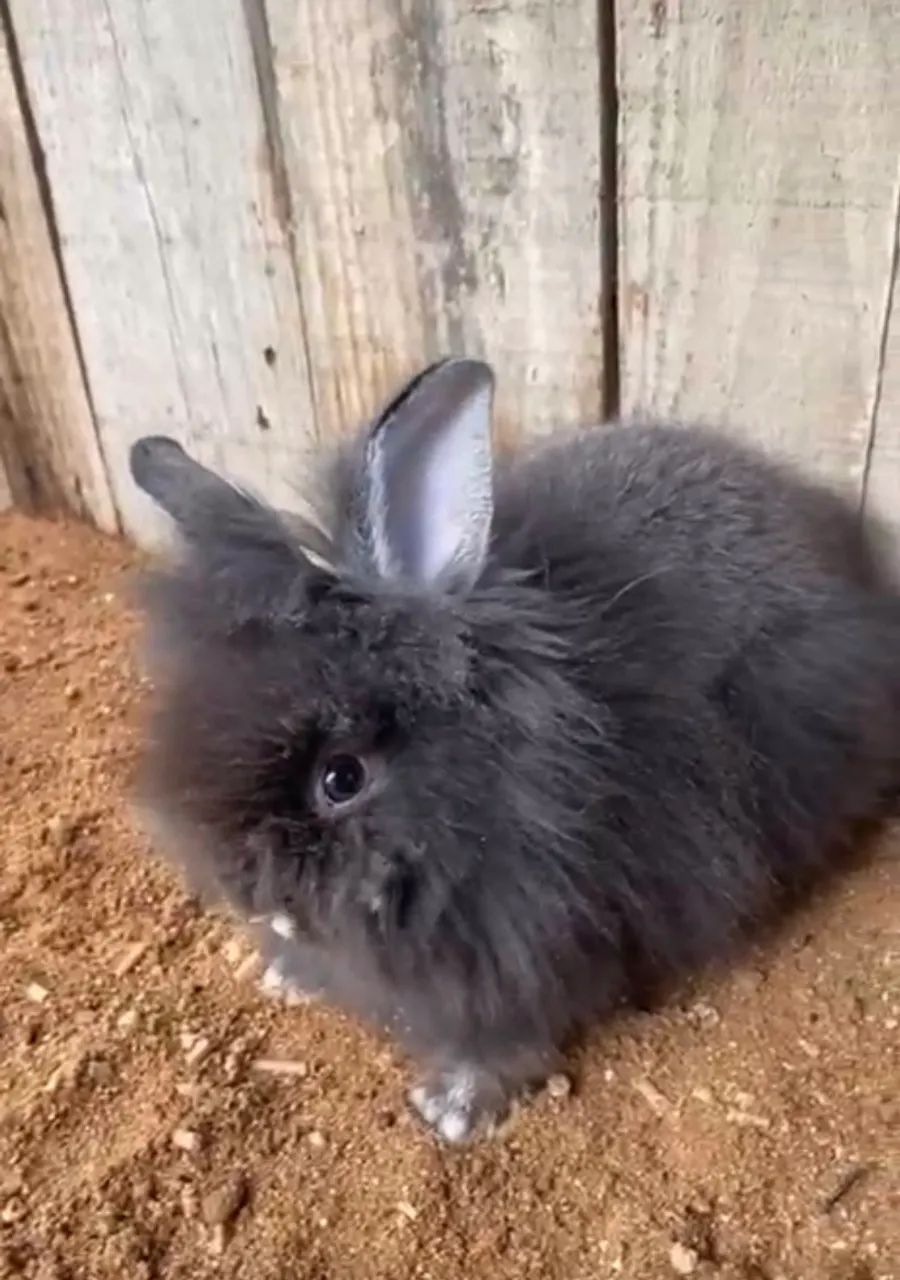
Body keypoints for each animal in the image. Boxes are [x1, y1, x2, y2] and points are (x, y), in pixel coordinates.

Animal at [129, 357, 900, 1143]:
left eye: (342, 777)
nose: (247, 896)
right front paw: (285, 976)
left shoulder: (537, 951)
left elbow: (507, 1040)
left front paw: (453, 1111)